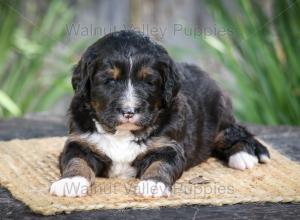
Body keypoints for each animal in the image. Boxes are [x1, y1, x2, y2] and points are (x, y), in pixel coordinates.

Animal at [49, 30, 272, 198]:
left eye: (149, 82)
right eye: (109, 80)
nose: (129, 111)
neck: (123, 133)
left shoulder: (168, 146)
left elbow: (160, 164)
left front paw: (153, 185)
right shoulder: (79, 141)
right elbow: (76, 160)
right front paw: (70, 182)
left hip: (220, 117)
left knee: (235, 133)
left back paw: (242, 156)